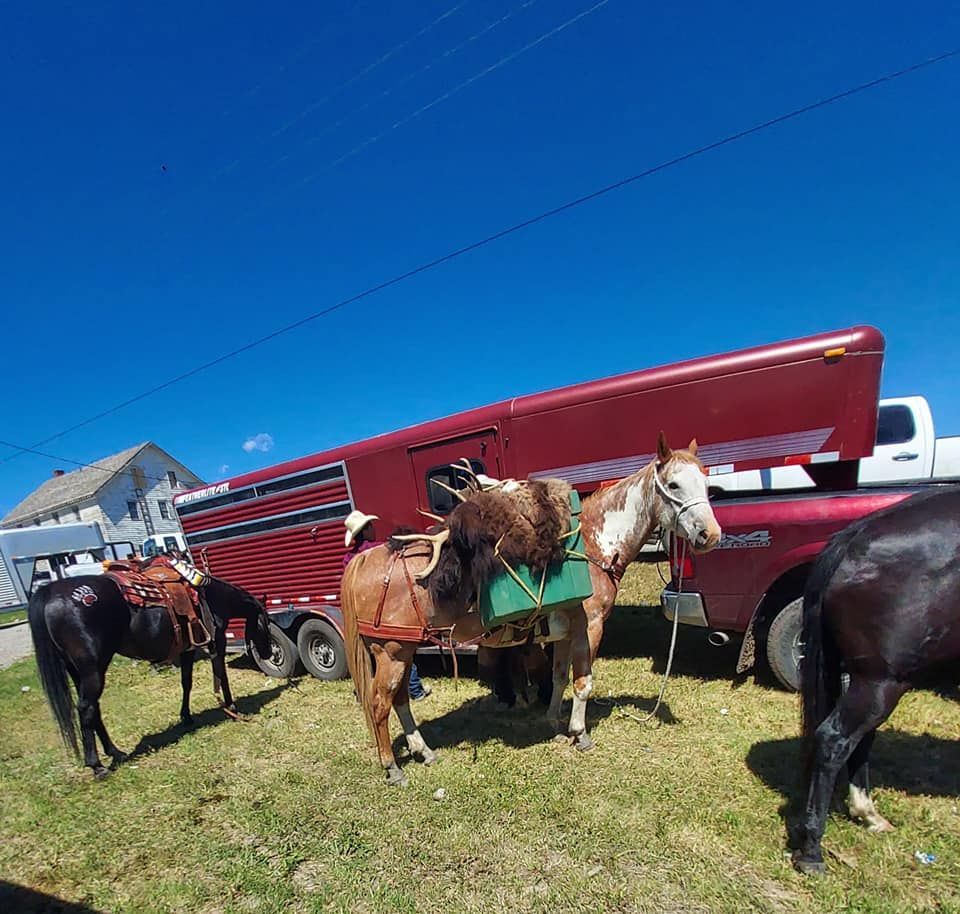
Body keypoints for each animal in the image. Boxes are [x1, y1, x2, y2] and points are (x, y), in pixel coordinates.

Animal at [28, 569, 272, 779]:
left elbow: (186, 682)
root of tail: (50, 593)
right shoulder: (217, 643)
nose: (269, 652)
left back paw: (116, 752)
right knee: (86, 708)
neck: (210, 596)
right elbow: (221, 676)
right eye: (266, 624)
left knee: (93, 709)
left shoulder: (188, 649)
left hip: (77, 671)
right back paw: (97, 766)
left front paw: (186, 716)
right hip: (93, 669)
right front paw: (231, 707)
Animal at [341, 433, 721, 784]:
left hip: (404, 649)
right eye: (673, 484)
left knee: (400, 699)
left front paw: (554, 721)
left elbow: (559, 676)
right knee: (380, 703)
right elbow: (583, 682)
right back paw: (392, 767)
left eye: (705, 482)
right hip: (392, 652)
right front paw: (580, 734)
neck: (593, 545)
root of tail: (364, 561)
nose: (710, 535)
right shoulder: (590, 626)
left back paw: (423, 751)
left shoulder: (564, 632)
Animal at [792, 486, 960, 875]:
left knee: (859, 737)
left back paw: (867, 814)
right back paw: (813, 849)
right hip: (881, 679)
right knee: (836, 739)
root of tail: (853, 538)